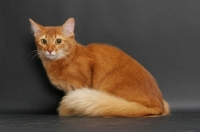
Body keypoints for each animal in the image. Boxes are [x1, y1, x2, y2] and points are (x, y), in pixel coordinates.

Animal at [28, 17, 170, 117]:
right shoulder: (69, 90)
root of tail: (159, 105)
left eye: (58, 41)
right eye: (44, 41)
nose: (49, 50)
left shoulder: (81, 83)